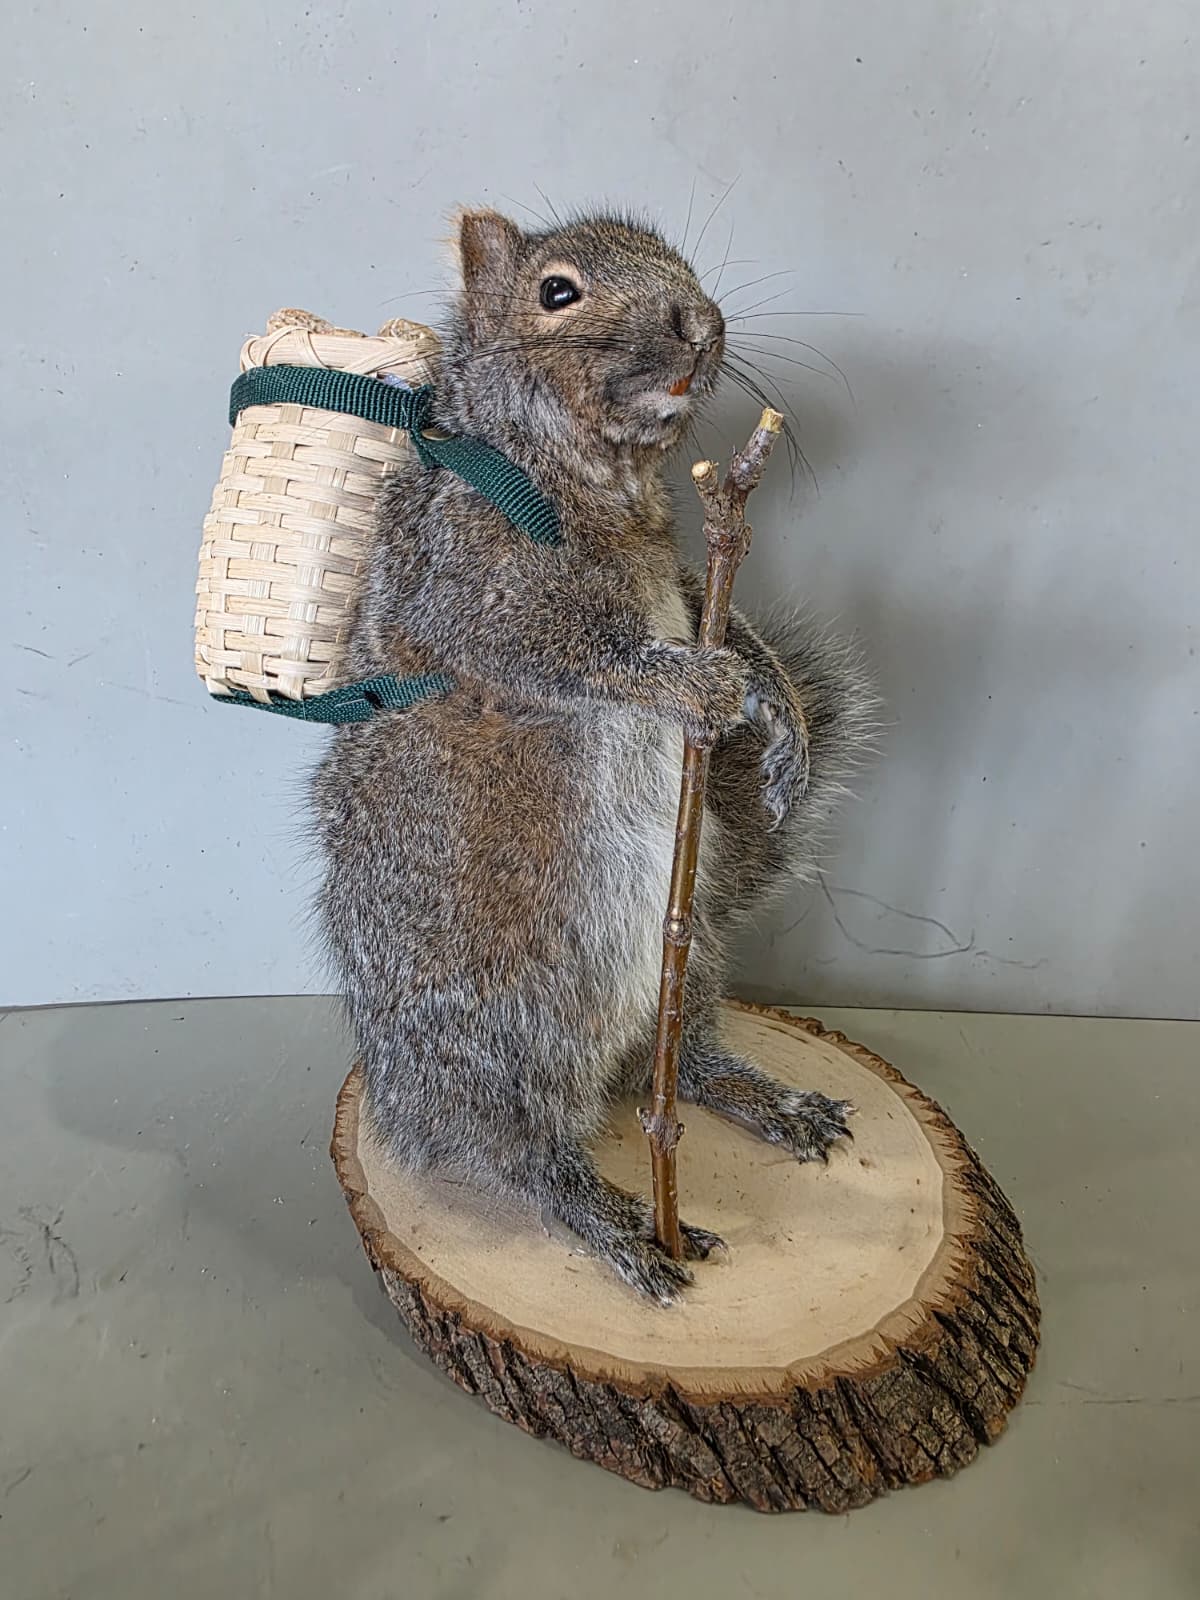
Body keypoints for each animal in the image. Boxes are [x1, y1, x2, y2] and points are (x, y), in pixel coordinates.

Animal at [313, 207, 877, 1303]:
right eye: (557, 292)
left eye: (680, 263)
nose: (697, 322)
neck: (603, 482)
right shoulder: (465, 575)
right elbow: (562, 655)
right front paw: (695, 683)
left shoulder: (682, 568)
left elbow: (716, 613)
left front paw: (773, 702)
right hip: (502, 1027)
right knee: (526, 1158)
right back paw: (613, 1222)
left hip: (688, 966)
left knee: (686, 1065)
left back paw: (762, 1099)